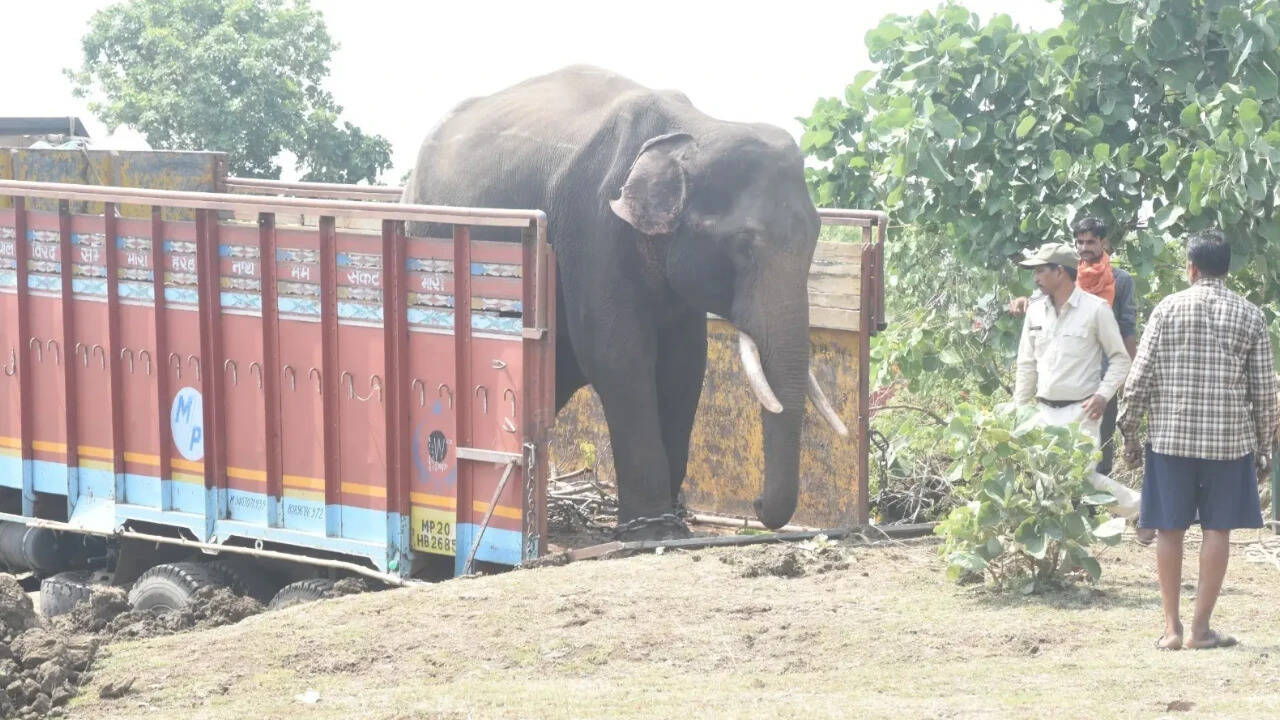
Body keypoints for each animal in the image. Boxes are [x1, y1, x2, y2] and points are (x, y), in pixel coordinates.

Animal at [402, 65, 847, 539]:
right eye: (743, 246)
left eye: (816, 238)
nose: (757, 505)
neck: (695, 129)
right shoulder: (592, 225)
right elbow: (618, 355)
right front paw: (654, 532)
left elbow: (685, 364)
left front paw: (673, 525)